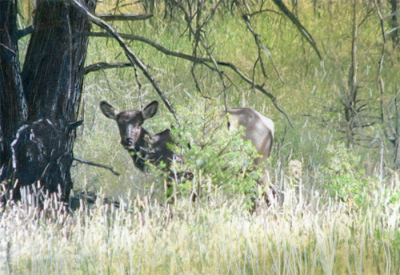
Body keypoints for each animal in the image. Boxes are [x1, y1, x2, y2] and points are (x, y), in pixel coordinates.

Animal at [100, 101, 276, 177]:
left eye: (138, 123)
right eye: (119, 123)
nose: (127, 140)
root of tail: (270, 124)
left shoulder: (178, 169)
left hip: (258, 162)